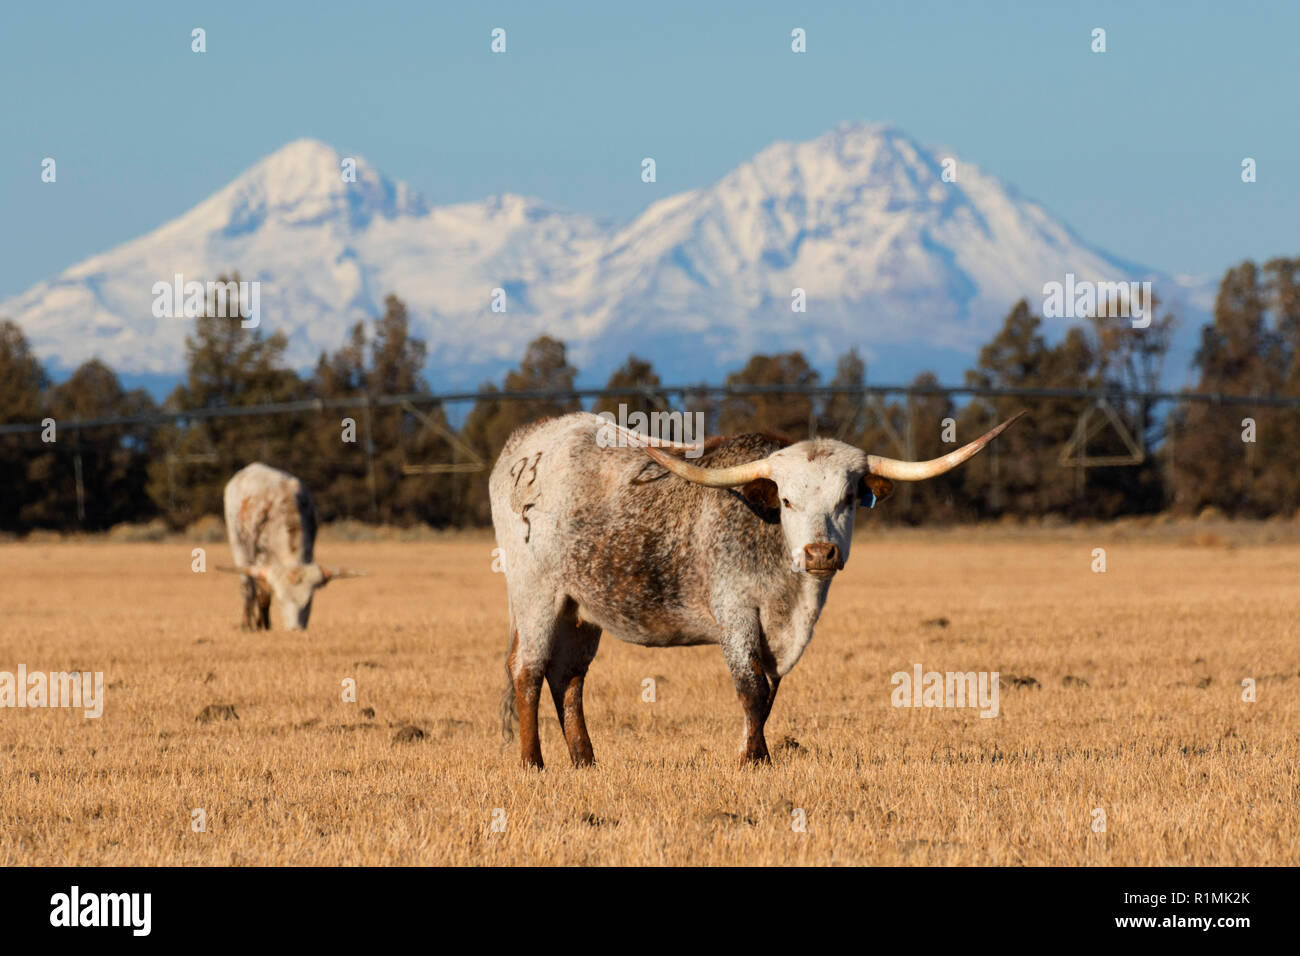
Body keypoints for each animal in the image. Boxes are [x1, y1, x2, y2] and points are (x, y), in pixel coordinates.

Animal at [218, 463, 361, 629]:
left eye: (309, 602)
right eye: (281, 601)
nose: (295, 629)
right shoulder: (261, 556)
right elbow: (263, 593)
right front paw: (263, 625)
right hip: (239, 546)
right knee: (248, 586)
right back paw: (247, 624)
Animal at [491, 411, 1019, 770]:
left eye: (848, 498)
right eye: (786, 500)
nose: (819, 553)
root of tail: (526, 443)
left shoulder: (780, 632)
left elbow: (769, 692)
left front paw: (755, 750)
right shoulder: (737, 612)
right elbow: (750, 687)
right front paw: (753, 760)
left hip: (580, 609)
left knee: (568, 677)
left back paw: (585, 760)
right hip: (536, 595)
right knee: (528, 670)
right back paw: (533, 763)